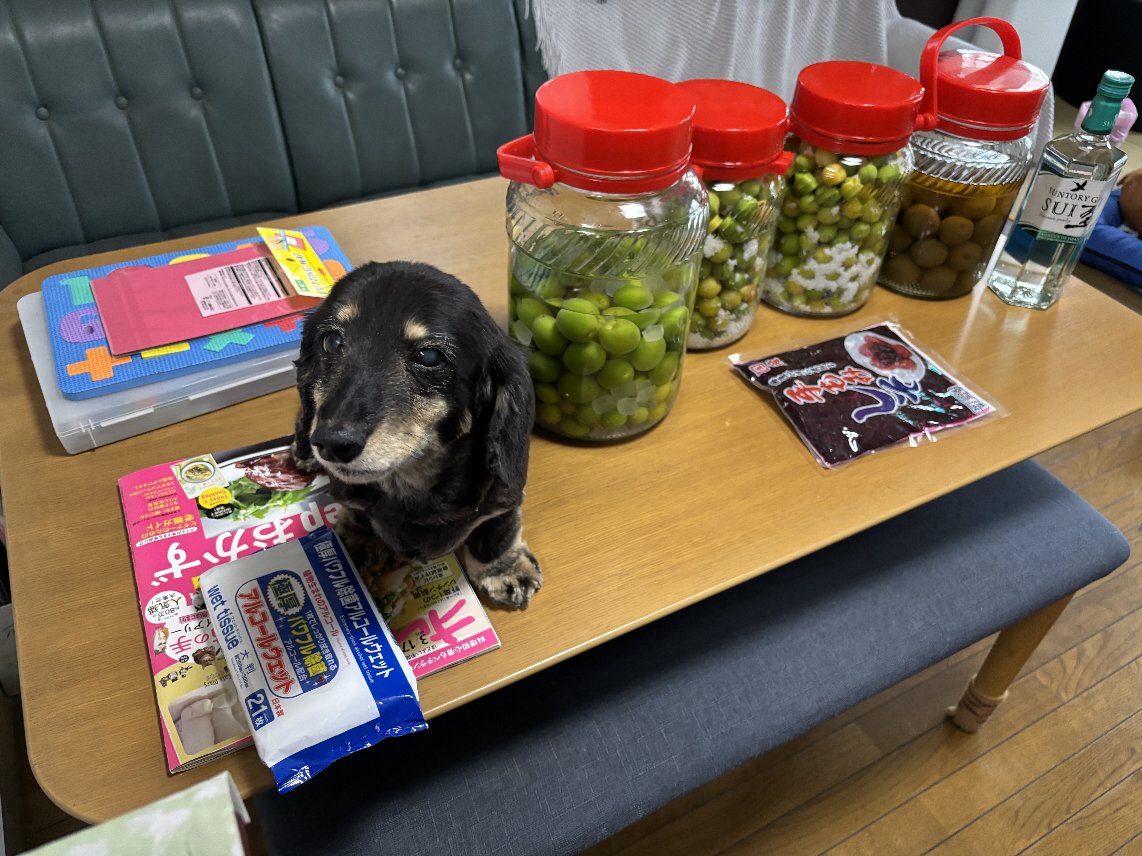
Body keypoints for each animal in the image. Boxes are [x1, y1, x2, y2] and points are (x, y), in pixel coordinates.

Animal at [291, 261, 542, 608]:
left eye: (430, 357)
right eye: (332, 341)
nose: (332, 442)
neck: (411, 485)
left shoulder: (505, 494)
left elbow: (497, 532)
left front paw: (503, 568)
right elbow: (357, 514)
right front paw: (354, 544)